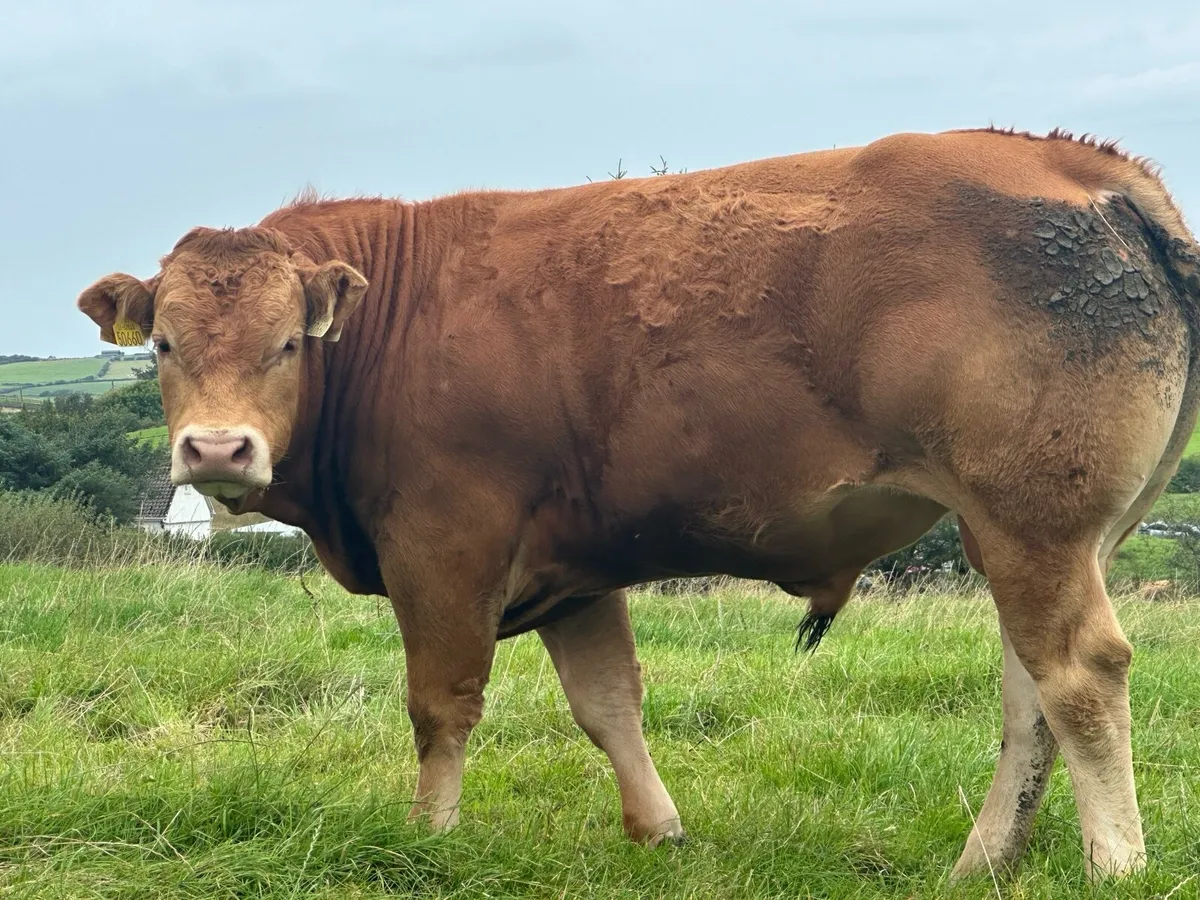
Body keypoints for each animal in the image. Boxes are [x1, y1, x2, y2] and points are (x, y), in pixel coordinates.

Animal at [77, 127, 1200, 882]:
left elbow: (442, 705)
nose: (215, 447)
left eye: (286, 343)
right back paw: (986, 862)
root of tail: (1081, 167)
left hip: (1033, 527)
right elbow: (608, 702)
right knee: (1027, 693)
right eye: (164, 343)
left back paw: (1115, 861)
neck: (392, 322)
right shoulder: (575, 571)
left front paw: (428, 838)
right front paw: (659, 831)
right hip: (1037, 536)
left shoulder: (443, 548)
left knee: (1079, 676)